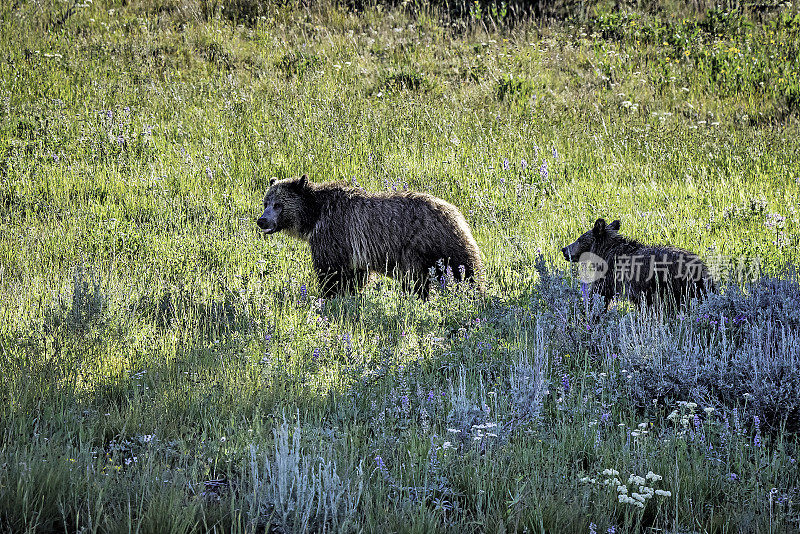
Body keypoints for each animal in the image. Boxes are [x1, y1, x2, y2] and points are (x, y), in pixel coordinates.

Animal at [258, 176, 482, 302]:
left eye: (278, 205)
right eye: (265, 202)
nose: (262, 220)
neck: (314, 215)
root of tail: (457, 214)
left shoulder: (334, 234)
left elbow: (331, 273)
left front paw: (329, 297)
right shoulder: (355, 251)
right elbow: (354, 277)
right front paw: (349, 296)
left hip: (427, 245)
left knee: (456, 271)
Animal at [560, 218, 716, 310]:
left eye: (579, 239)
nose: (564, 249)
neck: (605, 252)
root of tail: (700, 267)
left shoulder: (611, 277)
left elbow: (600, 293)